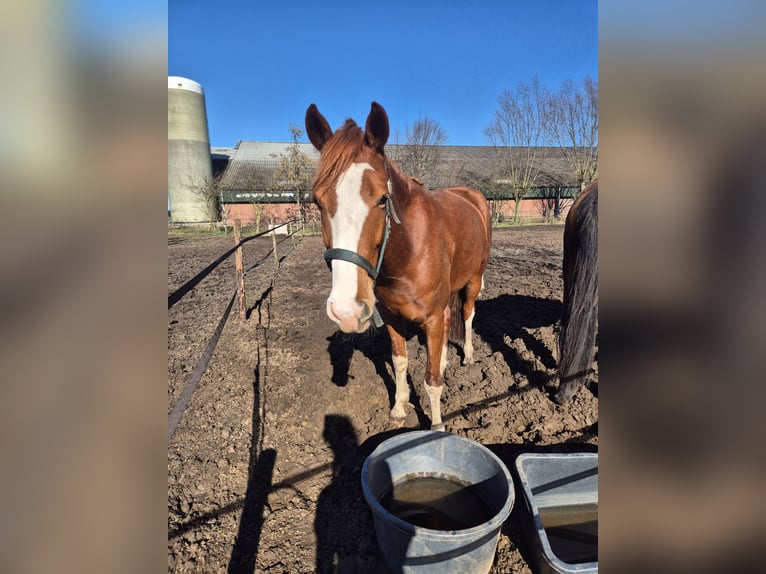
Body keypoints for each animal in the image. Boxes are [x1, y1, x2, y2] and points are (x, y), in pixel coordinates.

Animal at [305, 101, 492, 431]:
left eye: (382, 199)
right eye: (317, 201)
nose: (347, 311)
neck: (408, 251)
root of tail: (472, 195)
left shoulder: (431, 316)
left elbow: (431, 380)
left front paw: (436, 426)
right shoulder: (392, 316)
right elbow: (399, 361)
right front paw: (399, 407)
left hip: (474, 279)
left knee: (468, 314)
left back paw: (467, 355)